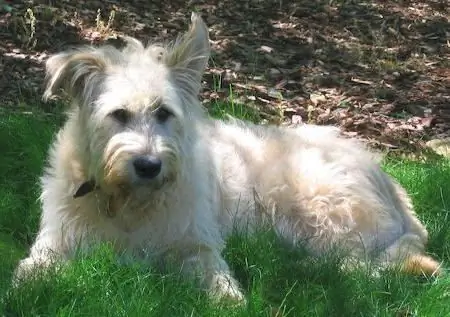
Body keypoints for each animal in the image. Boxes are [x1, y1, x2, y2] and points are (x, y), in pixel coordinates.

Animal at [15, 12, 442, 302]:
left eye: (163, 113)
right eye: (118, 115)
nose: (149, 166)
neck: (128, 204)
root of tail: (393, 187)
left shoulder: (195, 244)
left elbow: (218, 283)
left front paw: (228, 299)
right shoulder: (54, 244)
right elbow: (27, 276)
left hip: (319, 207)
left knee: (356, 264)